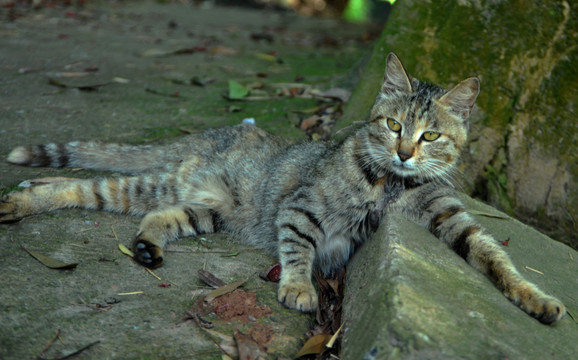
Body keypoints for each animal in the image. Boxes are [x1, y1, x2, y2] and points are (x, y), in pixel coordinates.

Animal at [0, 52, 564, 324]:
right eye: (393, 126)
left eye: (431, 136)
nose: (405, 153)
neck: (390, 184)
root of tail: (225, 130)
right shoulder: (301, 208)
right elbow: (299, 248)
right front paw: (297, 287)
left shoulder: (452, 217)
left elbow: (496, 257)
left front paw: (535, 298)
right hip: (161, 184)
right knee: (82, 187)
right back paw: (23, 196)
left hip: (202, 210)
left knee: (151, 217)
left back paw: (144, 246)